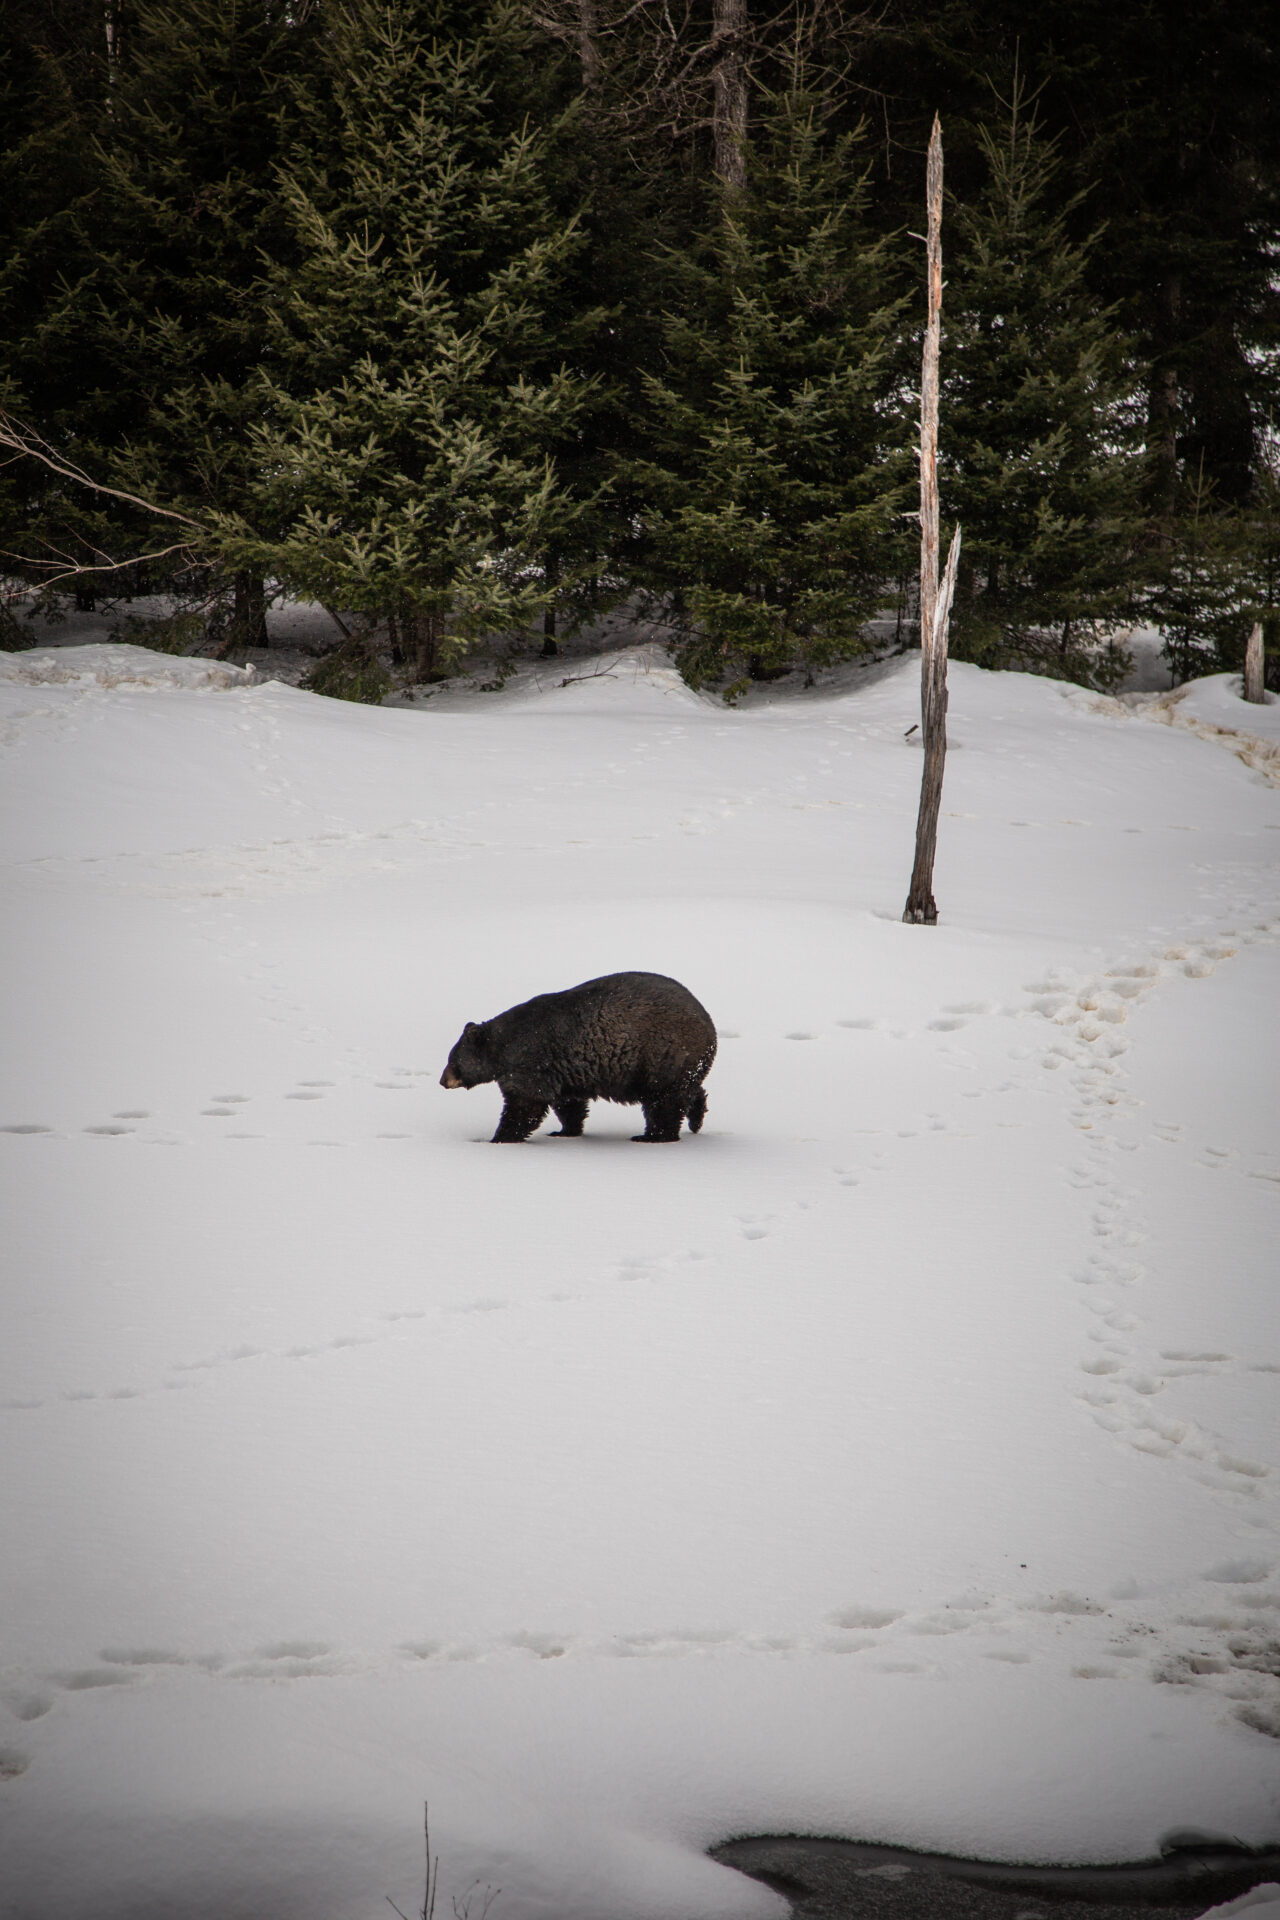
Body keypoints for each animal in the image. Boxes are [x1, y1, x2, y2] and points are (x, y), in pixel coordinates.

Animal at [443, 975, 721, 1136]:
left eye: (452, 1059)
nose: (442, 1080)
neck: (503, 1047)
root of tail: (710, 1025)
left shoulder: (530, 1063)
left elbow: (525, 1104)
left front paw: (501, 1137)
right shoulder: (564, 1069)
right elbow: (568, 1103)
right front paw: (565, 1131)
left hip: (662, 1055)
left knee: (664, 1102)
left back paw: (653, 1135)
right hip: (682, 1063)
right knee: (689, 1089)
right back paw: (696, 1119)